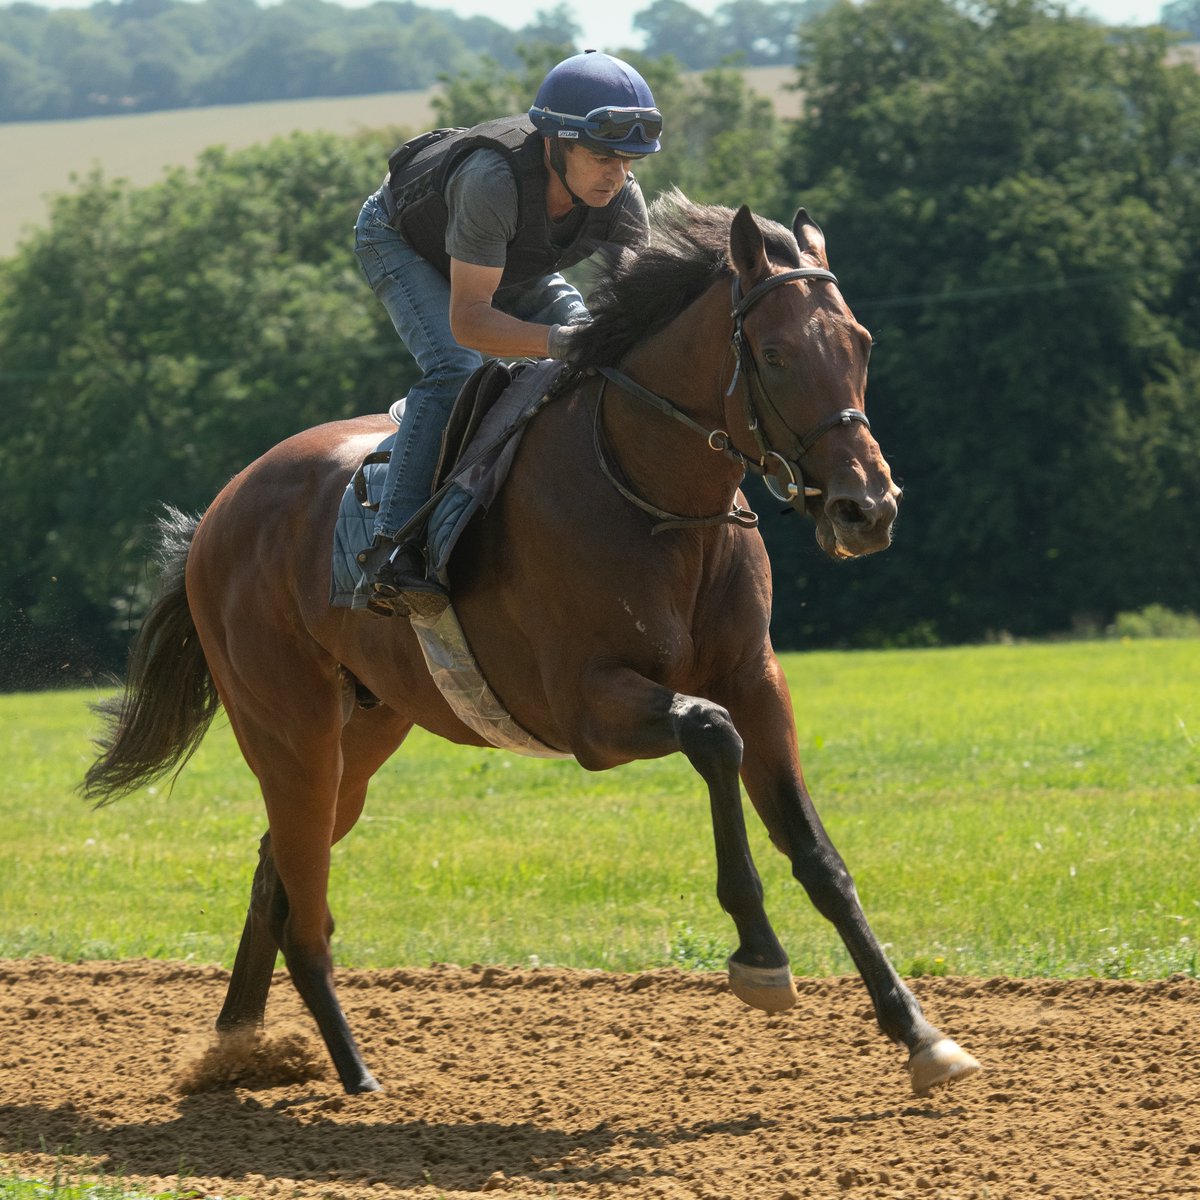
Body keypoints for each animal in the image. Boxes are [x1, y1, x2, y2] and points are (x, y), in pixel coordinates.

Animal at [82, 189, 979, 1097]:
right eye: (775, 351)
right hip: (288, 729)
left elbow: (817, 854)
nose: (868, 508)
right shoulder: (586, 710)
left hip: (361, 734)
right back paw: (348, 1069)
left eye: (860, 343)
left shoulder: (756, 680)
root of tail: (216, 514)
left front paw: (921, 1035)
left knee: (278, 865)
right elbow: (709, 732)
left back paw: (239, 1046)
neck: (656, 497)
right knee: (303, 892)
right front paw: (760, 956)